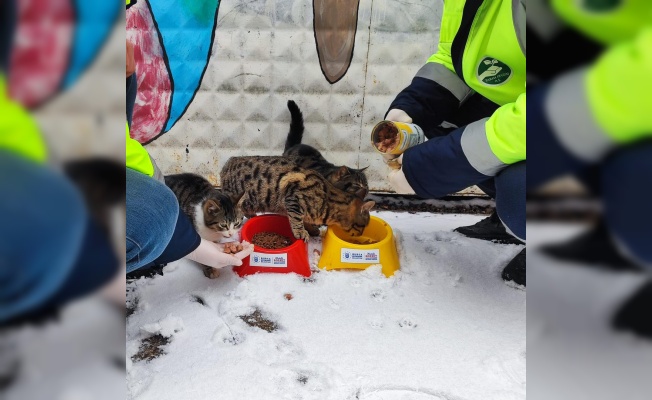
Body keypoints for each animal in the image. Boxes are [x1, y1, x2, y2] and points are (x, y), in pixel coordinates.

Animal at [220, 156, 374, 241]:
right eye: (363, 226)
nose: (361, 235)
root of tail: (228, 162)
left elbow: (306, 220)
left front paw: (312, 229)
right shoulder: (294, 199)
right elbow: (297, 219)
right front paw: (301, 232)